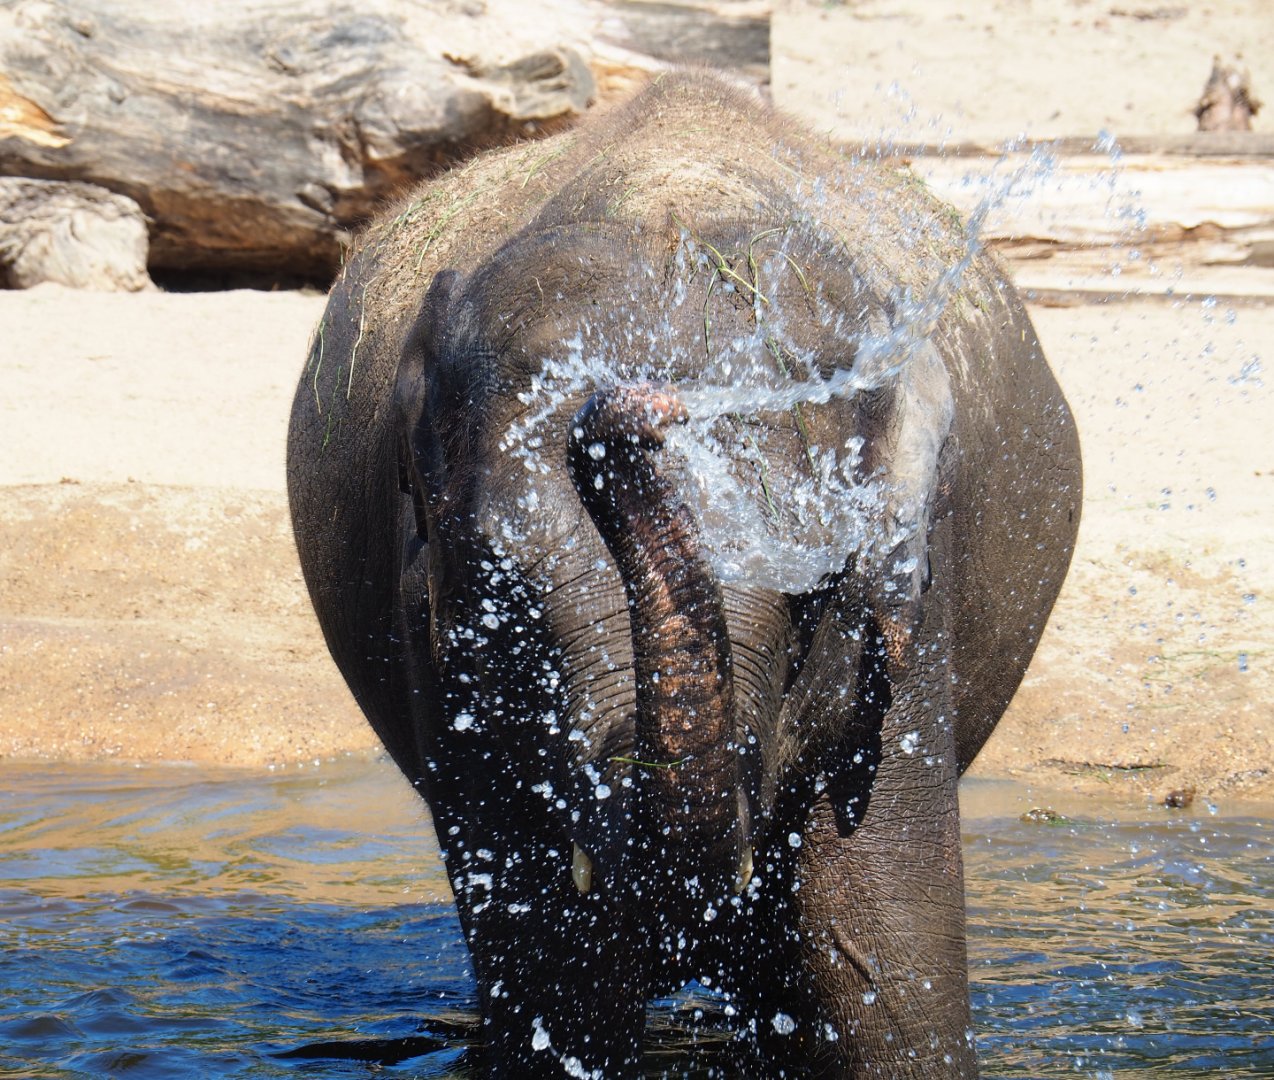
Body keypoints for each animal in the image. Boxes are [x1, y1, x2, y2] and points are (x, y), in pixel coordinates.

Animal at [286, 72, 1081, 1078]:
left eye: (813, 606)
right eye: (507, 602)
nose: (634, 409)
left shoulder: (909, 609)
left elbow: (892, 994)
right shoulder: (431, 630)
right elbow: (554, 997)